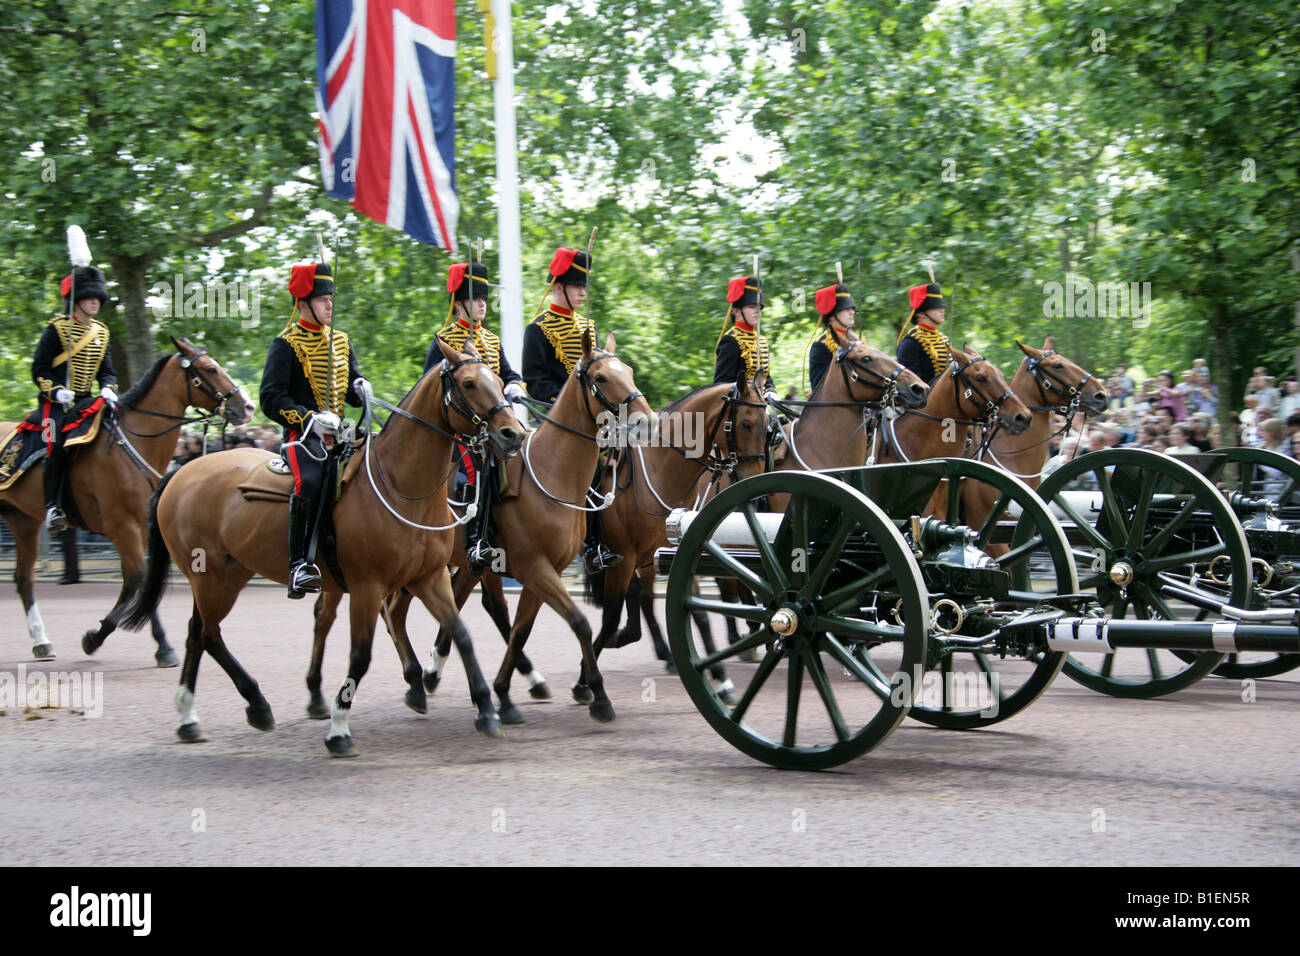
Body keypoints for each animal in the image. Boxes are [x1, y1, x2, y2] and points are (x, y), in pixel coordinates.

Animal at [0, 338, 252, 665]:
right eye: (210, 369)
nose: (247, 407)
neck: (135, 445)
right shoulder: (121, 526)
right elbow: (138, 579)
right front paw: (95, 637)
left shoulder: (141, 528)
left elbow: (144, 581)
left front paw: (162, 646)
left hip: (23, 521)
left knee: (23, 579)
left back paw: (42, 642)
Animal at [119, 343, 525, 754]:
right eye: (469, 383)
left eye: (499, 380)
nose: (513, 434)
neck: (401, 486)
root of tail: (181, 471)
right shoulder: (366, 586)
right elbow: (360, 656)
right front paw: (339, 727)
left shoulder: (430, 577)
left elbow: (461, 634)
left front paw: (486, 710)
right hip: (210, 577)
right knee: (208, 634)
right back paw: (246, 705)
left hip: (228, 574)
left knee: (199, 632)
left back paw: (203, 714)